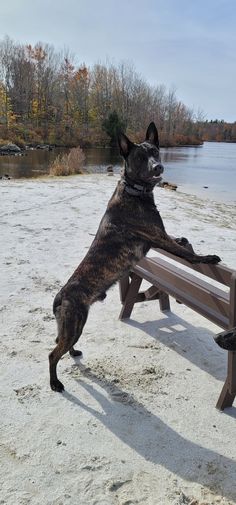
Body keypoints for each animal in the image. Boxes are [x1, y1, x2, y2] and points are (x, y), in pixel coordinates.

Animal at [48, 122, 220, 390]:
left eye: (156, 152)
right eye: (140, 157)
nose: (158, 167)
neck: (135, 192)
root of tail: (59, 297)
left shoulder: (163, 237)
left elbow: (185, 243)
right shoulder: (159, 238)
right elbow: (186, 254)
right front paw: (209, 258)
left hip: (73, 326)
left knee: (62, 345)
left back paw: (74, 353)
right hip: (74, 323)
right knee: (53, 354)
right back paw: (55, 383)